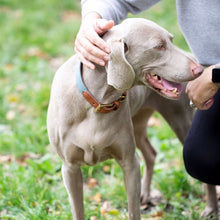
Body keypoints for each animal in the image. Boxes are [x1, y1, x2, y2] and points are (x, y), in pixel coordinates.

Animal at [46, 18, 205, 219]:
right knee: (151, 153)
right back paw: (146, 194)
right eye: (159, 46)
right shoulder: (69, 167)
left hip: (180, 121)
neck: (97, 102)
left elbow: (133, 210)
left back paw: (210, 208)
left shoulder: (130, 162)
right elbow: (77, 210)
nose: (199, 70)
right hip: (138, 123)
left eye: (171, 40)